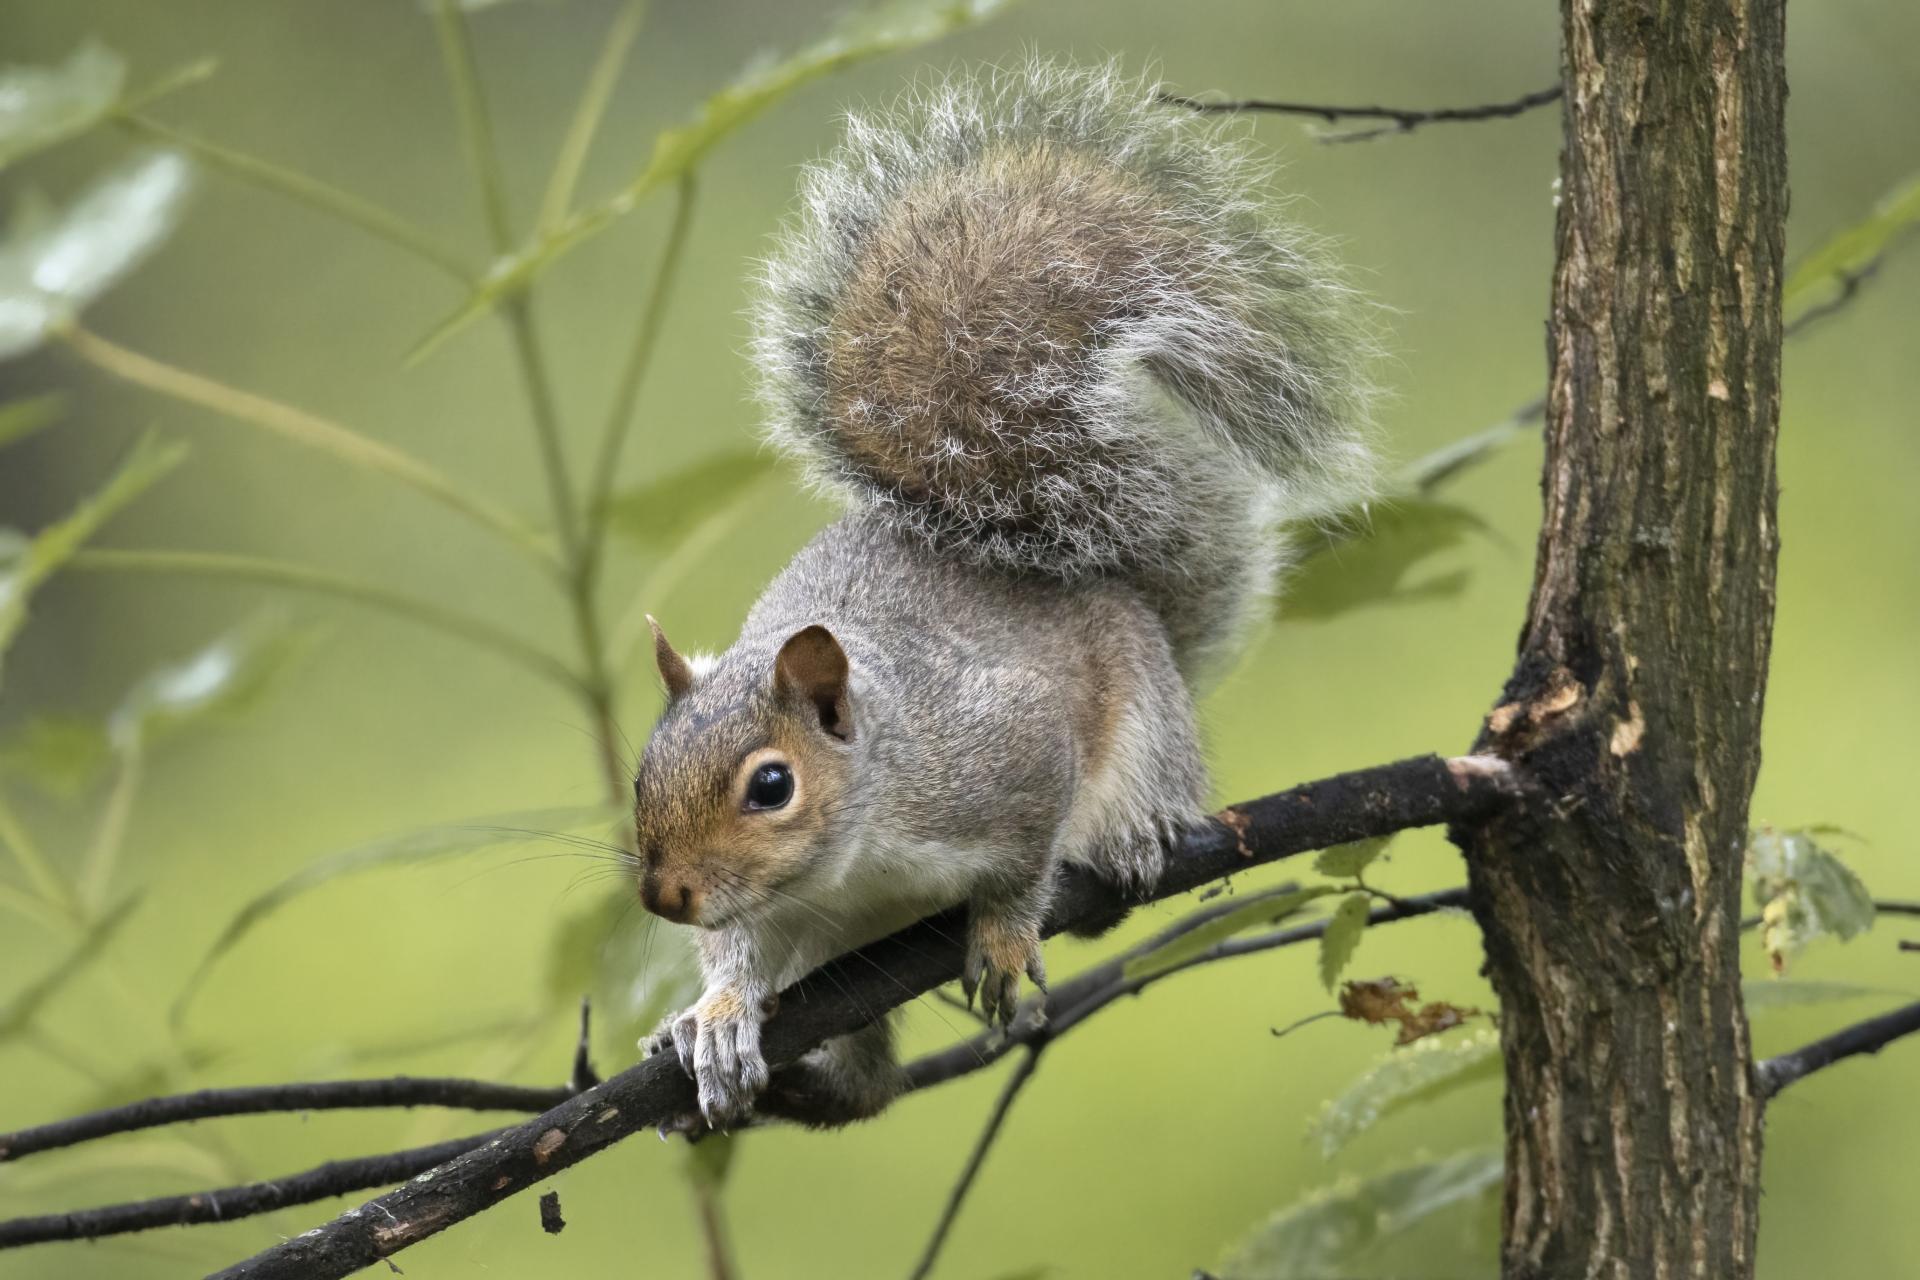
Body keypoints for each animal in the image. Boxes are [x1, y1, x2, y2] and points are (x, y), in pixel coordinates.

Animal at [632, 59, 1377, 1130]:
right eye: (640, 777)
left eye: (771, 786)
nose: (665, 897)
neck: (852, 866)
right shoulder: (778, 917)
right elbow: (738, 954)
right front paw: (719, 1013)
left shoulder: (1007, 755)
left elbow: (1026, 856)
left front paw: (1004, 934)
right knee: (865, 1087)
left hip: (1149, 724)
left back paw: (1138, 833)